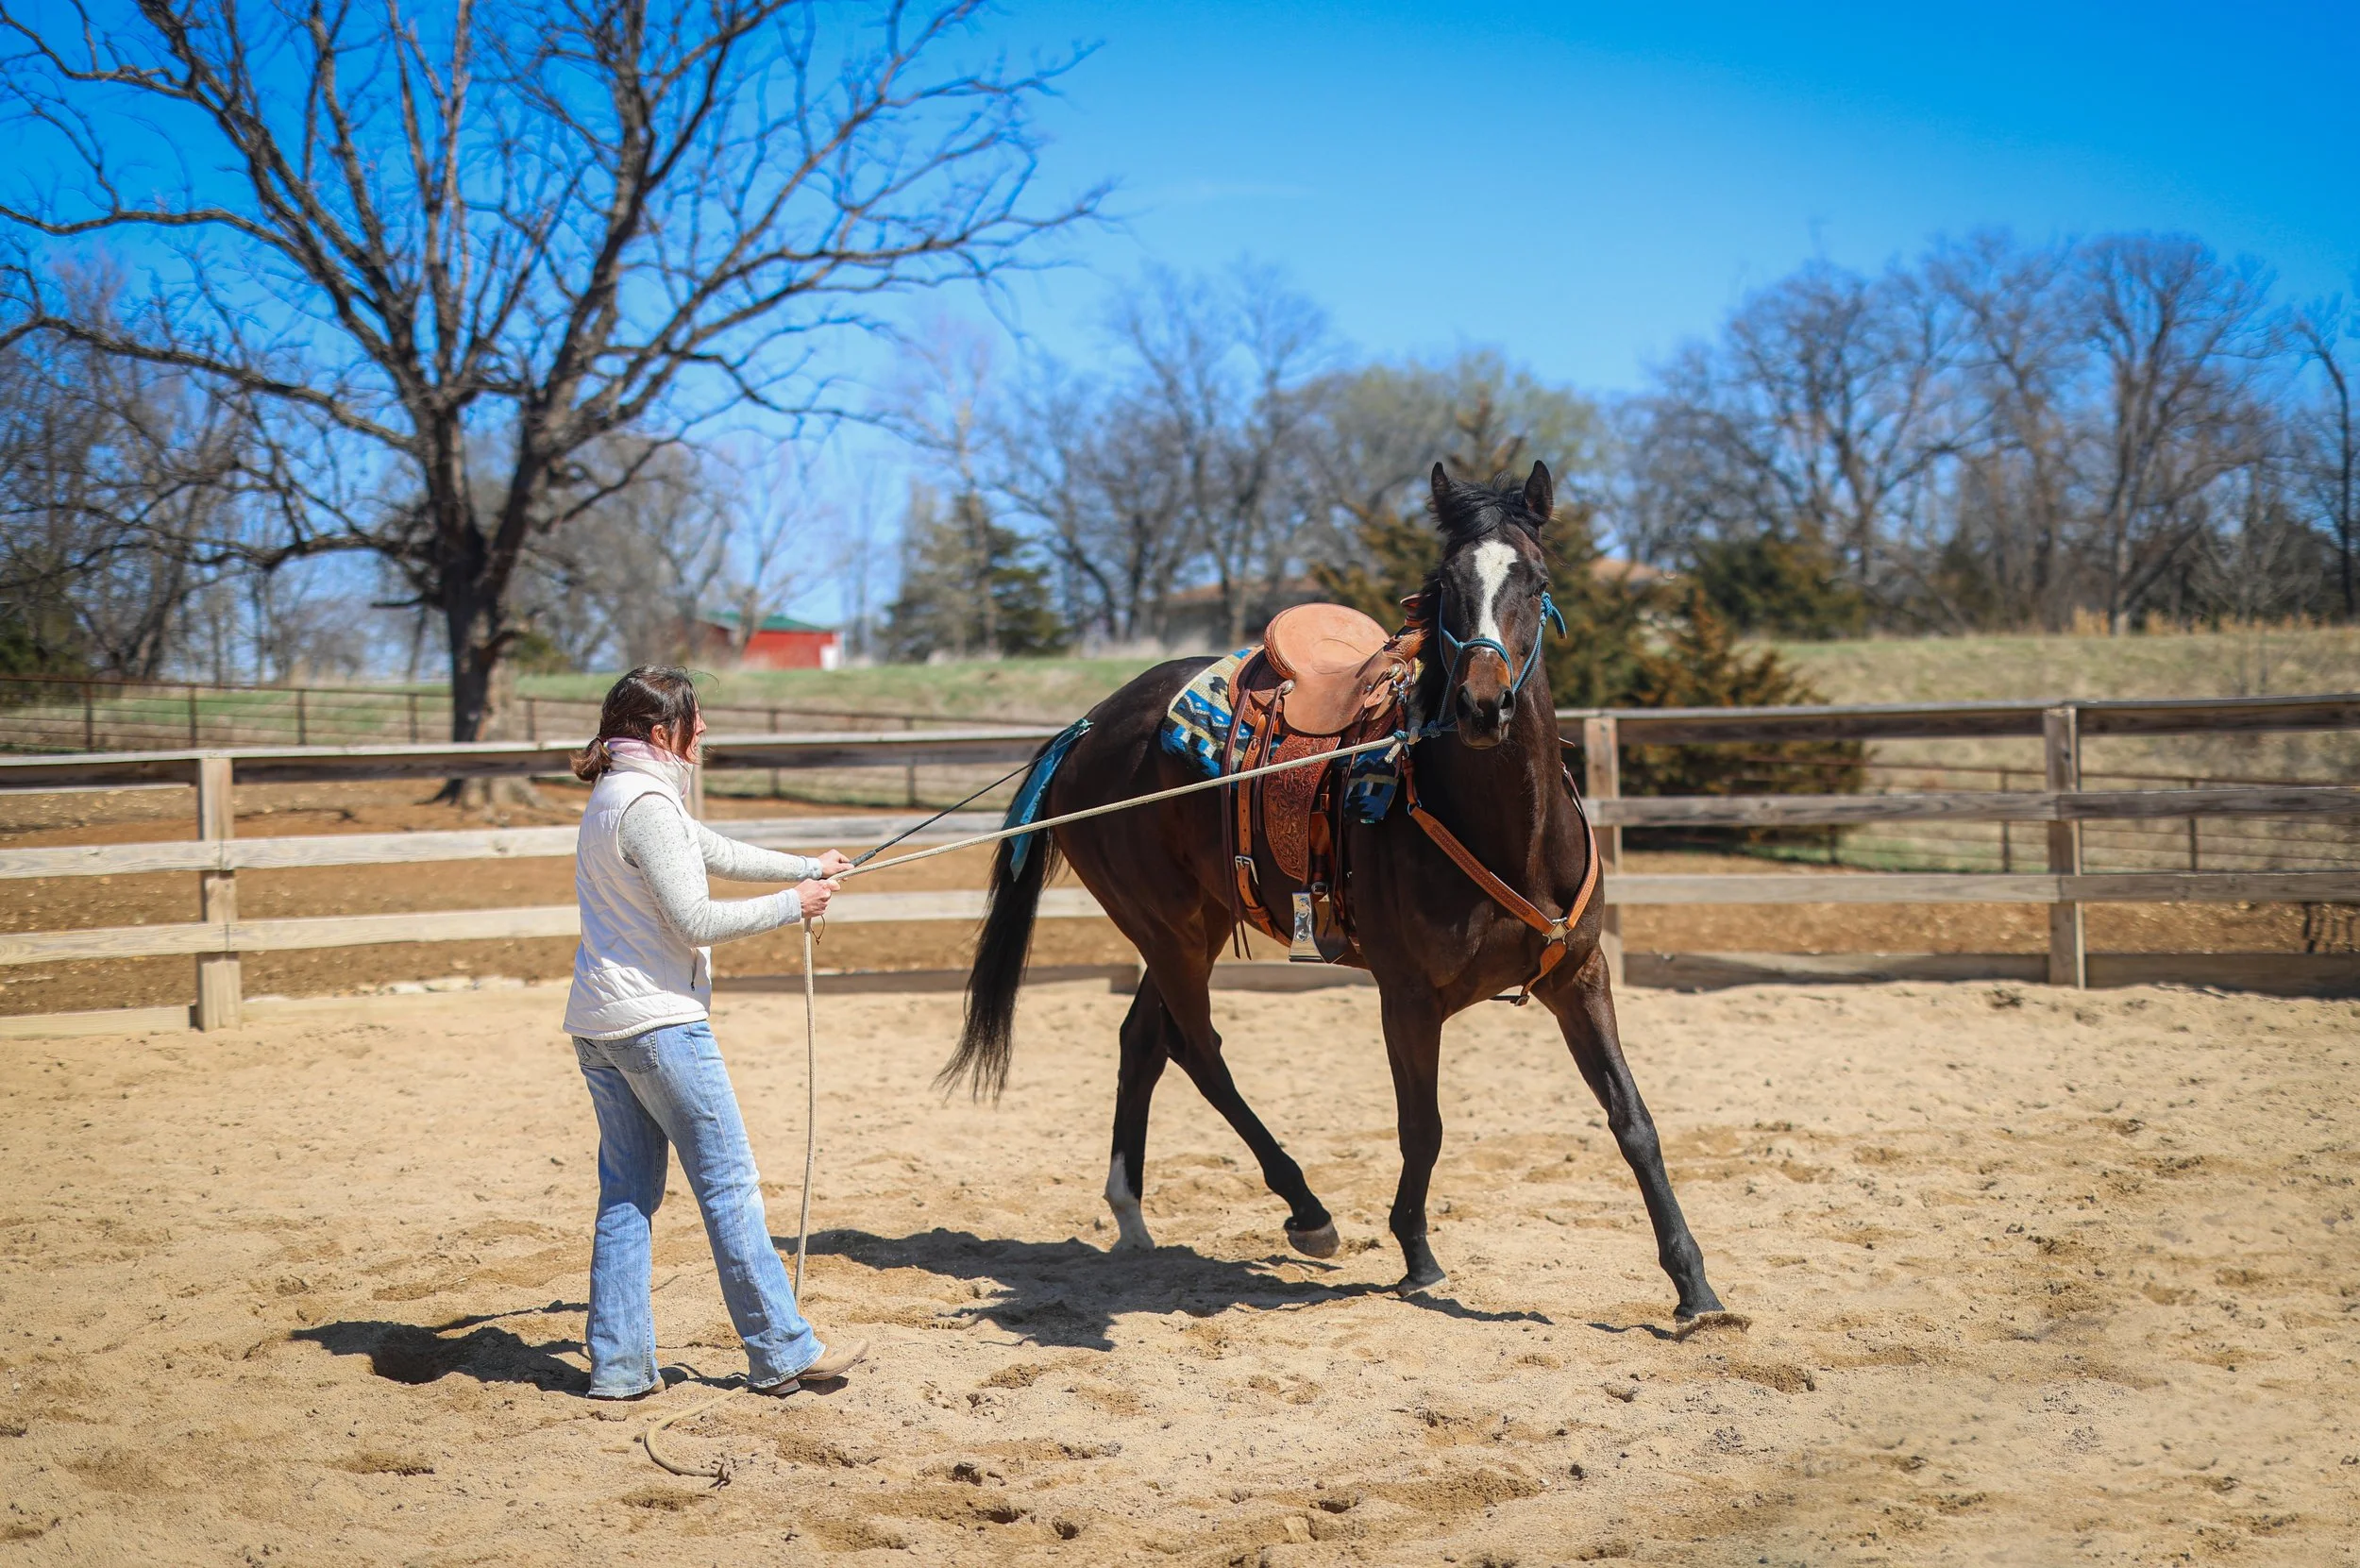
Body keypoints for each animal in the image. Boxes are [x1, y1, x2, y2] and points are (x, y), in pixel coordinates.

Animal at [942, 461, 1725, 1321]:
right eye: (1448, 585)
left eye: (1538, 580)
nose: (1483, 705)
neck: (1505, 832)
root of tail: (1086, 727)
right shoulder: (1407, 996)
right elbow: (1423, 1127)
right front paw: (1417, 1254)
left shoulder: (1580, 976)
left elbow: (1633, 1120)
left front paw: (1693, 1284)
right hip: (1167, 927)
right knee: (1198, 1049)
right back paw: (1308, 1210)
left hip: (1193, 924)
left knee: (1144, 1041)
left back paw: (1132, 1214)